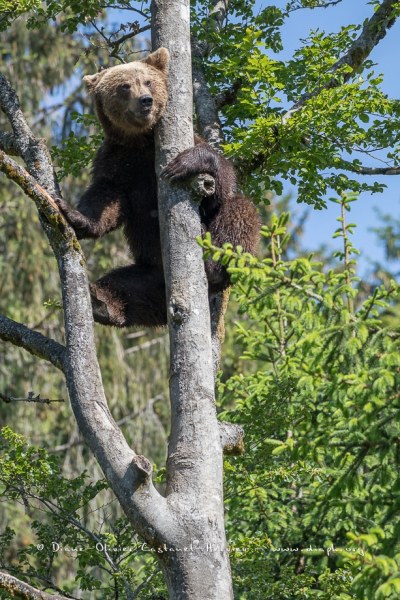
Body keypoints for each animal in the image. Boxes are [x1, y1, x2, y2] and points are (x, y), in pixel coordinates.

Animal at [57, 47, 260, 328]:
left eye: (148, 81)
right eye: (124, 86)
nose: (146, 101)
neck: (140, 142)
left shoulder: (181, 144)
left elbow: (223, 183)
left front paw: (187, 163)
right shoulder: (116, 162)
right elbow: (107, 198)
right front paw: (76, 215)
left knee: (240, 212)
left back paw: (214, 263)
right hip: (151, 274)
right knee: (126, 285)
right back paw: (102, 302)